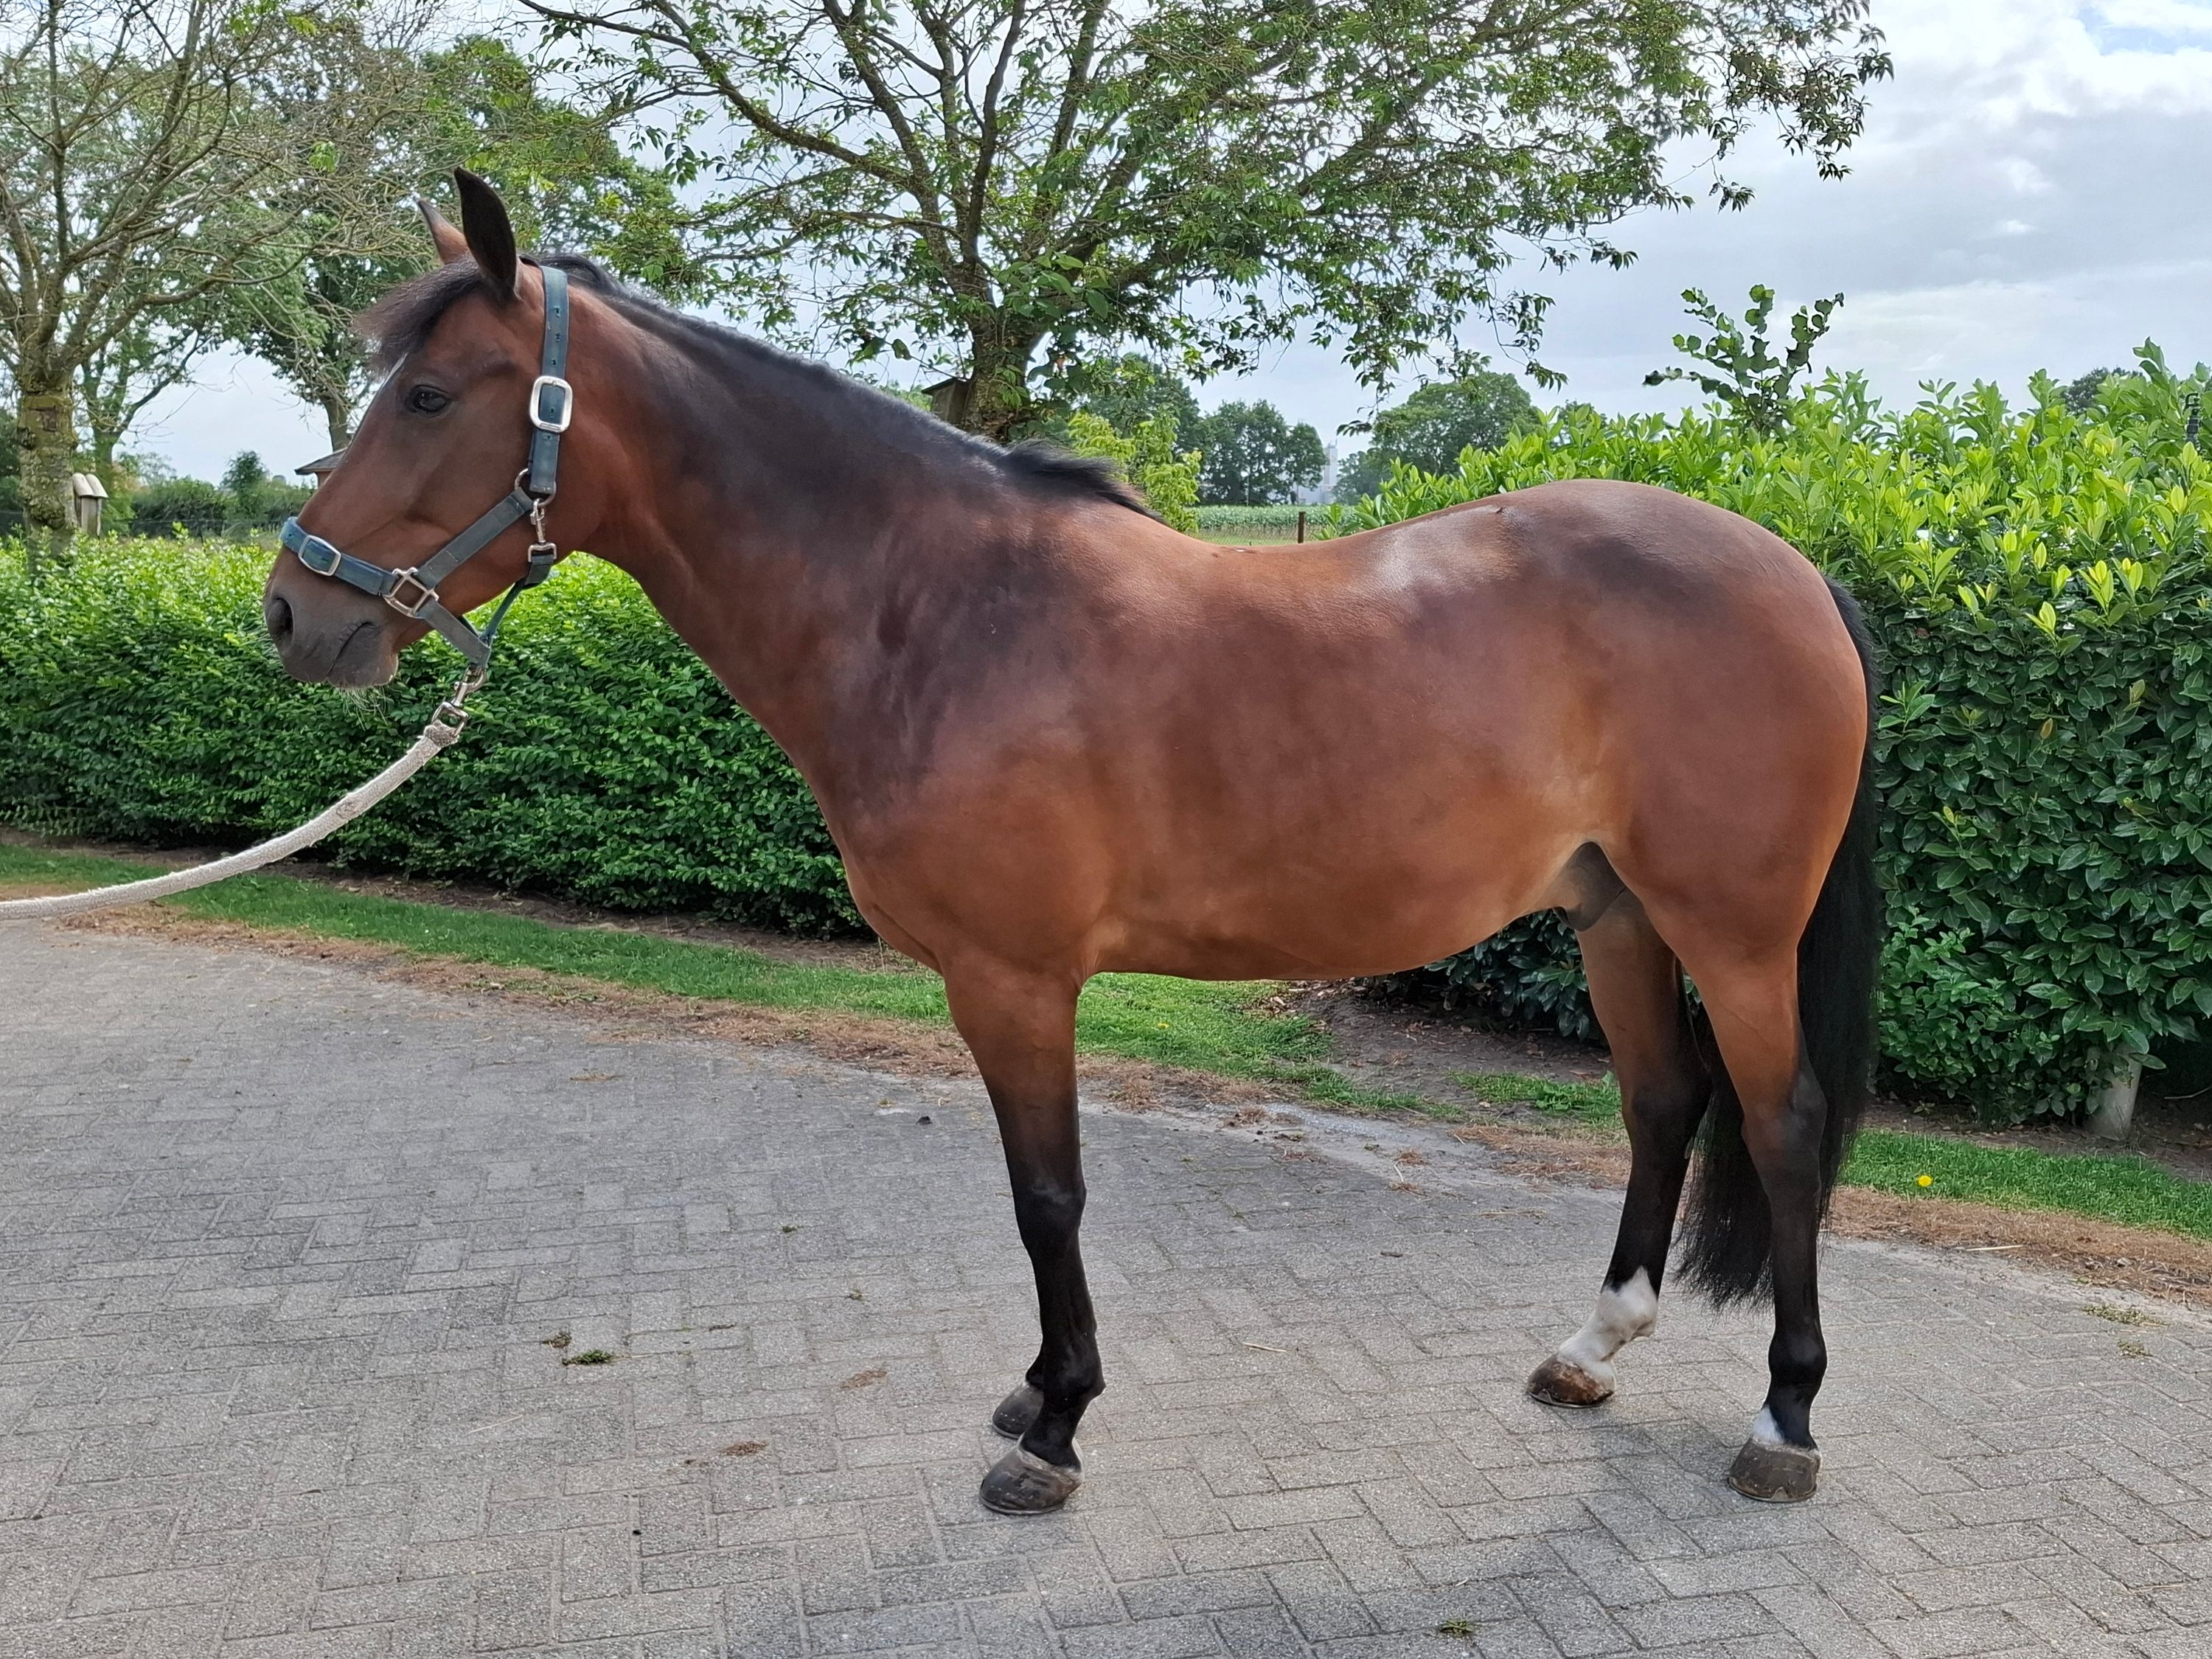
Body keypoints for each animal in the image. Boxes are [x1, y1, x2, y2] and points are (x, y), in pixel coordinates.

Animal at [263, 171, 1880, 1514]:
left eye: (430, 395)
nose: (294, 614)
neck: (942, 613)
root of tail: (1796, 572)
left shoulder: (1017, 979)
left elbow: (1050, 1197)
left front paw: (1055, 1432)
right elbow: (1029, 1197)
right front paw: (1036, 1394)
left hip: (1734, 932)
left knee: (1783, 1128)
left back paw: (1785, 1422)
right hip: (1618, 917)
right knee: (1663, 1106)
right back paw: (1592, 1348)